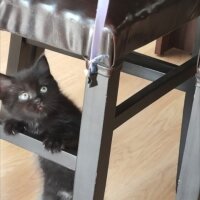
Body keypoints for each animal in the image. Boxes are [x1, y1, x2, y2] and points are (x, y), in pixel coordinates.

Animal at [0, 54, 81, 199]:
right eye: (24, 95)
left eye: (43, 88)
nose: (37, 100)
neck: (41, 121)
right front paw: (12, 124)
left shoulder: (76, 124)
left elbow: (67, 130)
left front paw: (53, 140)